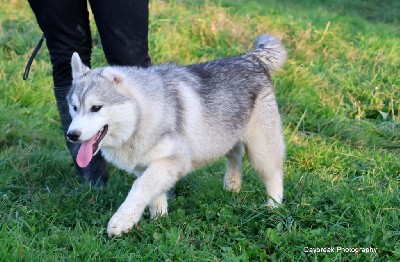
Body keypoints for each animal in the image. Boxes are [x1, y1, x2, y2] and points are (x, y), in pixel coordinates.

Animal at [68, 33, 288, 236]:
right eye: (74, 107)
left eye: (96, 108)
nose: (72, 135)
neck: (142, 117)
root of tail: (250, 58)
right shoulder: (146, 165)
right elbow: (154, 194)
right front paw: (159, 219)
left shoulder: (173, 160)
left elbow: (140, 187)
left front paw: (121, 221)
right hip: (225, 134)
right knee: (235, 153)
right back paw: (232, 185)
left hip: (261, 149)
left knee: (273, 175)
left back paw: (273, 207)